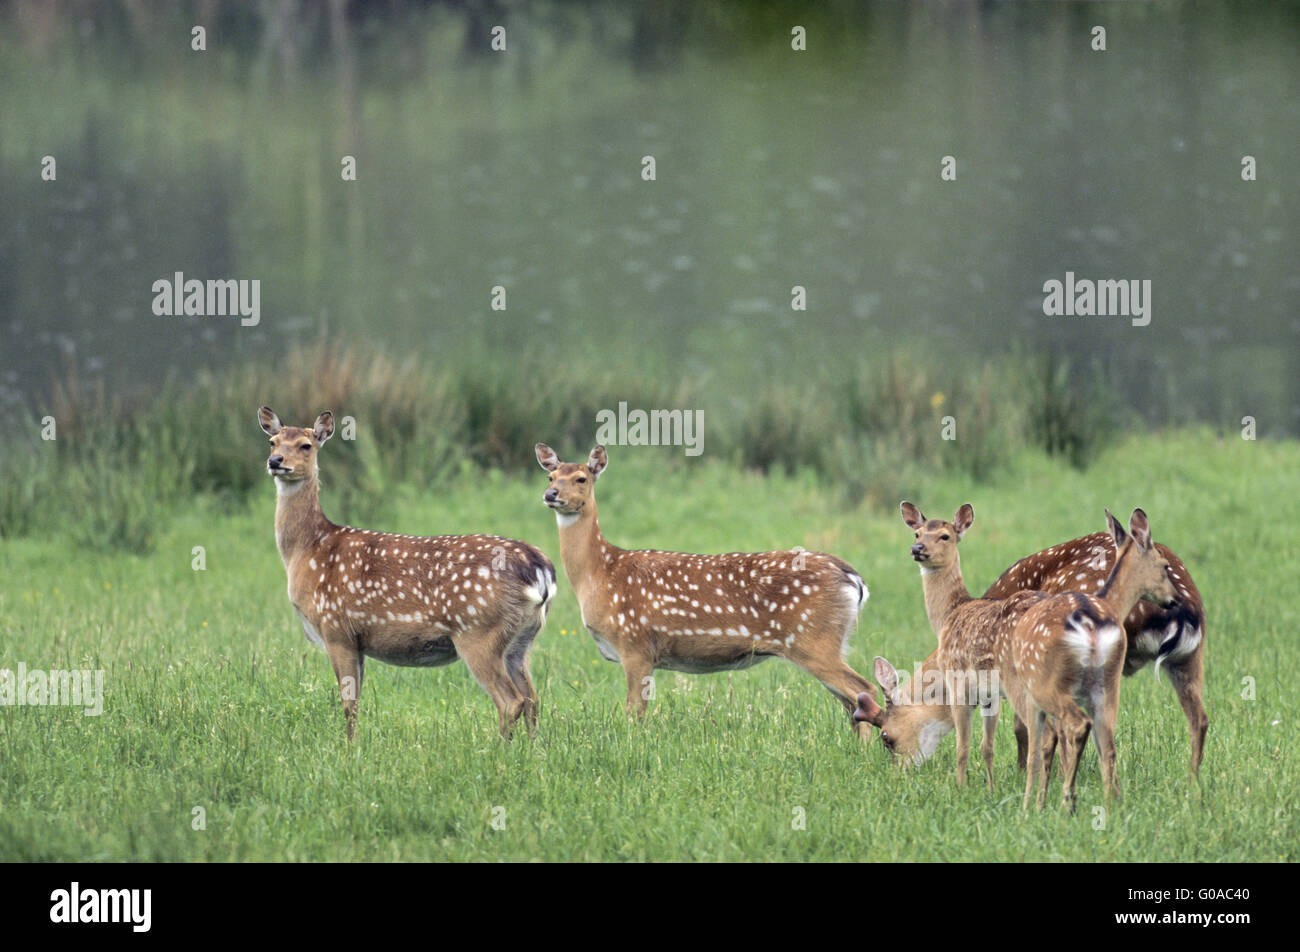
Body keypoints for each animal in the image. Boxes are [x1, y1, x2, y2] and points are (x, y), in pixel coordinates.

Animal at [257, 405, 553, 738]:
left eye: (306, 445)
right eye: (272, 442)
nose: (275, 461)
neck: (308, 550)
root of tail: (539, 567)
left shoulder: (337, 629)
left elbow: (348, 706)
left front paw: (348, 747)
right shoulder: (356, 641)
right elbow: (355, 702)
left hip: (478, 631)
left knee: (511, 701)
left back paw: (497, 748)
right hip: (522, 639)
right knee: (533, 698)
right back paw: (531, 748)